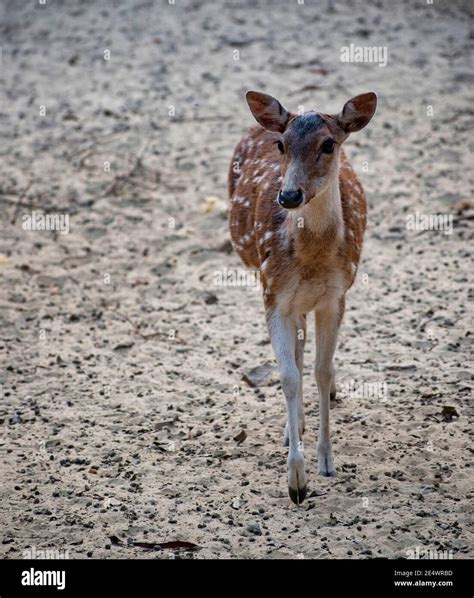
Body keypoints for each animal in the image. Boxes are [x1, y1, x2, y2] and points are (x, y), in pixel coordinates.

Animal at [228, 90, 376, 506]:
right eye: (281, 144)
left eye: (328, 144)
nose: (289, 195)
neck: (311, 259)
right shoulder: (273, 294)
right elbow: (289, 376)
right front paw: (296, 480)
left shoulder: (336, 296)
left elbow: (320, 371)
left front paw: (326, 461)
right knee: (296, 351)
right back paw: (293, 426)